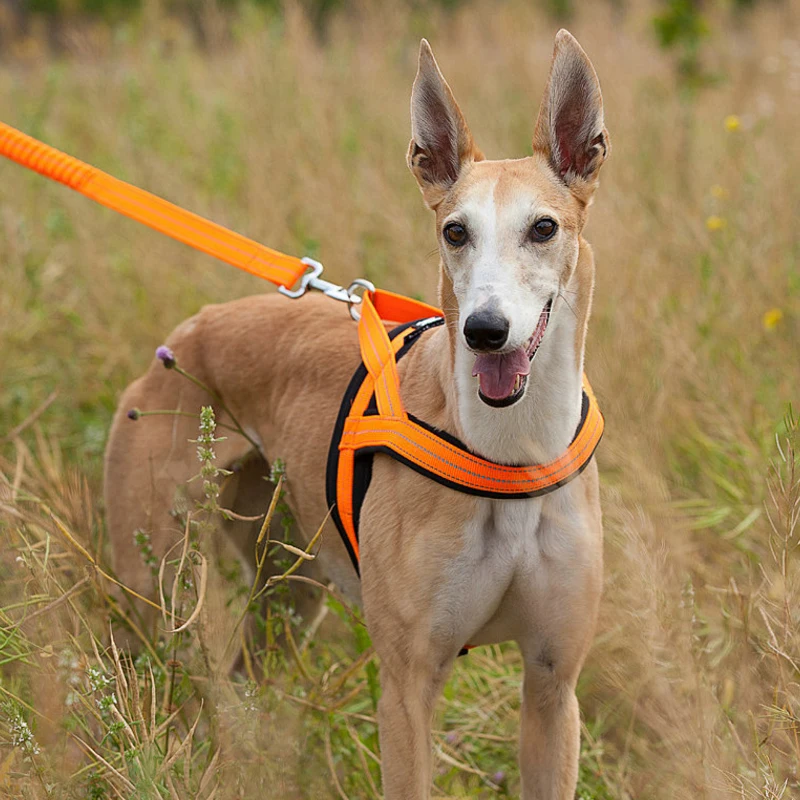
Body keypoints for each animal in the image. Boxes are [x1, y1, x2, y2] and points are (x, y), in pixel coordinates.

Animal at [104, 28, 608, 796]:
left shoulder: (554, 685)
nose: (485, 331)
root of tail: (180, 338)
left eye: (544, 227)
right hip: (170, 600)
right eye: (455, 232)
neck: (510, 454)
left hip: (288, 591)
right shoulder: (406, 686)